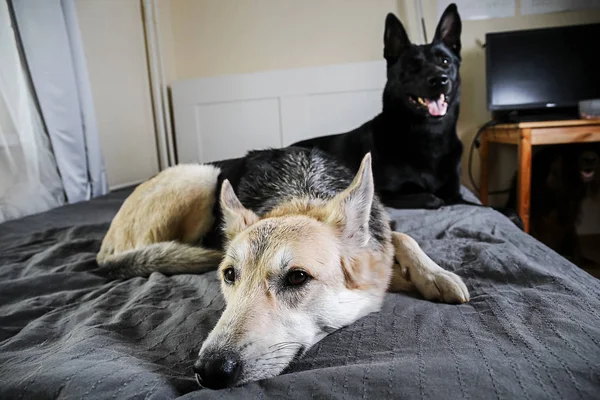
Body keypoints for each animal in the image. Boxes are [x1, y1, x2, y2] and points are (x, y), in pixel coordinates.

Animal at [97, 147, 468, 388]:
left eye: (297, 277)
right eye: (230, 275)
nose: (209, 371)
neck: (300, 193)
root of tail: (104, 248)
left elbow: (401, 236)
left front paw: (436, 274)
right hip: (202, 177)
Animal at [292, 3, 468, 209]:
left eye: (445, 61)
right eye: (412, 66)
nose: (440, 79)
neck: (430, 137)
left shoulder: (456, 195)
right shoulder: (381, 192)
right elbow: (430, 198)